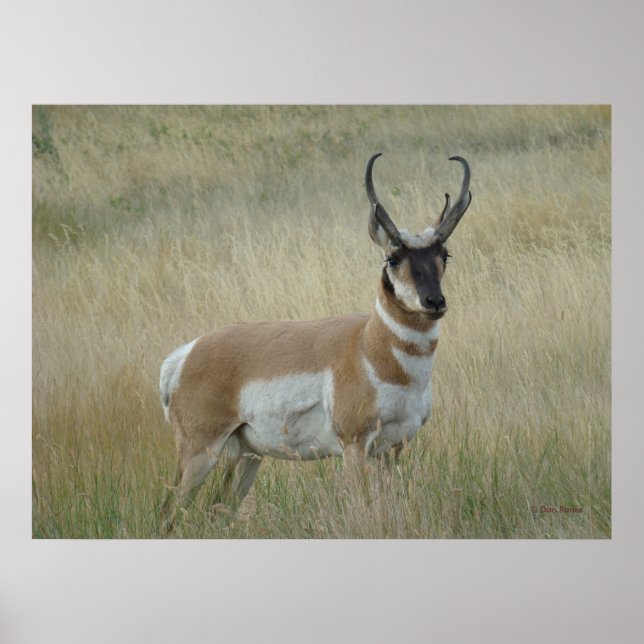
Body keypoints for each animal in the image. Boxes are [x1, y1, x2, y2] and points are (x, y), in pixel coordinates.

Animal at [160, 153, 472, 525]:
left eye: (445, 255)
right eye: (393, 258)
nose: (434, 302)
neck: (368, 345)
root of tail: (185, 354)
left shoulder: (393, 448)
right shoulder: (354, 445)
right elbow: (361, 503)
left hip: (247, 455)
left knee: (218, 508)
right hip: (200, 452)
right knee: (169, 511)